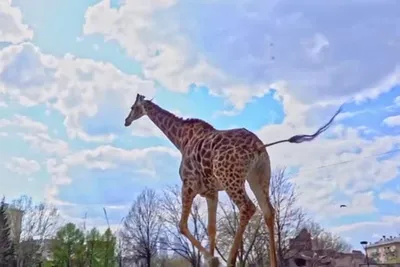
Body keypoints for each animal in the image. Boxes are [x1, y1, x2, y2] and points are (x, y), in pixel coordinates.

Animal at [124, 94, 340, 267]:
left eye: (133, 107)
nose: (126, 121)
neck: (180, 139)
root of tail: (259, 146)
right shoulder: (211, 191)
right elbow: (211, 229)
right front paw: (212, 259)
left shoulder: (189, 185)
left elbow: (182, 226)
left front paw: (213, 259)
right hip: (259, 177)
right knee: (268, 211)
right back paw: (272, 263)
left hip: (231, 178)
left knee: (248, 207)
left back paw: (230, 261)